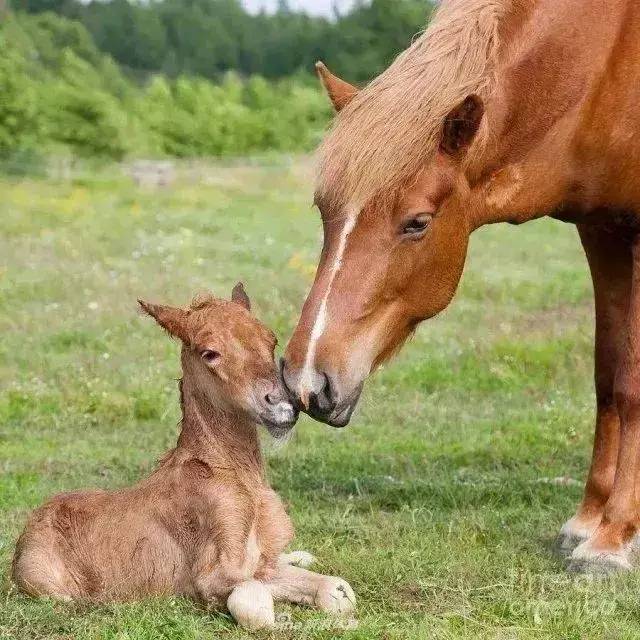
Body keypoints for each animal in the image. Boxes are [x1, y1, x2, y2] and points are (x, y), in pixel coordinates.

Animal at [11, 286, 356, 632]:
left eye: (270, 339)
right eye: (209, 353)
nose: (284, 405)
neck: (233, 475)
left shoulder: (258, 563)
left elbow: (337, 590)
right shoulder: (210, 574)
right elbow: (253, 600)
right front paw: (287, 621)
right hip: (51, 590)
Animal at [282, 0, 640, 576]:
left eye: (418, 223)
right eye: (324, 210)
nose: (308, 381)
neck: (607, 55)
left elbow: (632, 383)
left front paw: (613, 539)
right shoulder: (602, 229)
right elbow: (610, 376)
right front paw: (589, 522)